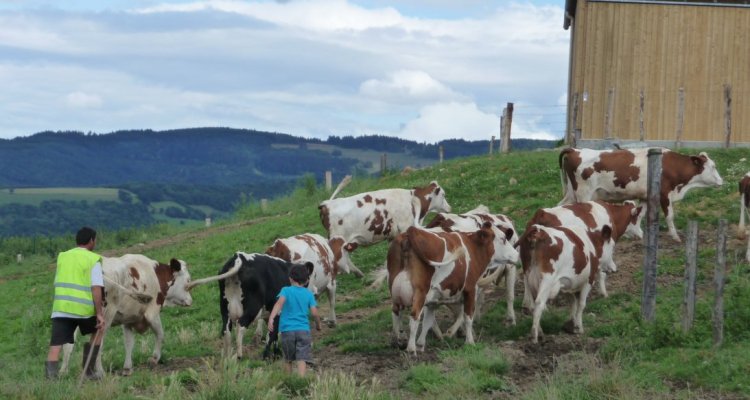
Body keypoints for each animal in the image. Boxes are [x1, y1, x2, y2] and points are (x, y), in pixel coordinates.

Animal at [60, 255, 194, 376]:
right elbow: (160, 334)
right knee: (97, 343)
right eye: (188, 280)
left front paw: (127, 368)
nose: (190, 301)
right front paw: (154, 358)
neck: (155, 274)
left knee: (68, 345)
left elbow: (129, 343)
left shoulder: (128, 319)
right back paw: (100, 372)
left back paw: (63, 372)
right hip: (105, 316)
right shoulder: (152, 313)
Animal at [186, 253, 314, 360]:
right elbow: (272, 334)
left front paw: (276, 353)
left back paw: (227, 357)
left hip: (225, 309)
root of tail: (239, 257)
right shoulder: (277, 312)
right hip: (252, 308)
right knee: (240, 326)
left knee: (226, 331)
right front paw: (267, 356)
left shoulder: (269, 314)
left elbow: (273, 334)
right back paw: (239, 355)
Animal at [318, 180, 452, 276]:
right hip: (338, 239)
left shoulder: (393, 235)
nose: (450, 208)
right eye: (444, 195)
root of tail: (326, 204)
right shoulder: (404, 228)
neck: (412, 200)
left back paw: (359, 274)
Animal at [390, 222, 520, 354]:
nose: (517, 254)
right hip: (420, 292)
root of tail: (411, 232)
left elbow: (428, 321)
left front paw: (421, 345)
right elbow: (468, 317)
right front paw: (470, 342)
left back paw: (399, 341)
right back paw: (411, 349)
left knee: (396, 312)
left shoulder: (433, 298)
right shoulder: (470, 289)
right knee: (414, 316)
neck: (473, 246)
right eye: (503, 239)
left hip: (395, 290)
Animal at [560, 146, 724, 241]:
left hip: (571, 193)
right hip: (584, 193)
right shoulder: (664, 194)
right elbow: (670, 216)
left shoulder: (645, 196)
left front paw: (638, 233)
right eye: (713, 166)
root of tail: (575, 150)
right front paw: (675, 236)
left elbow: (640, 214)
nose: (722, 181)